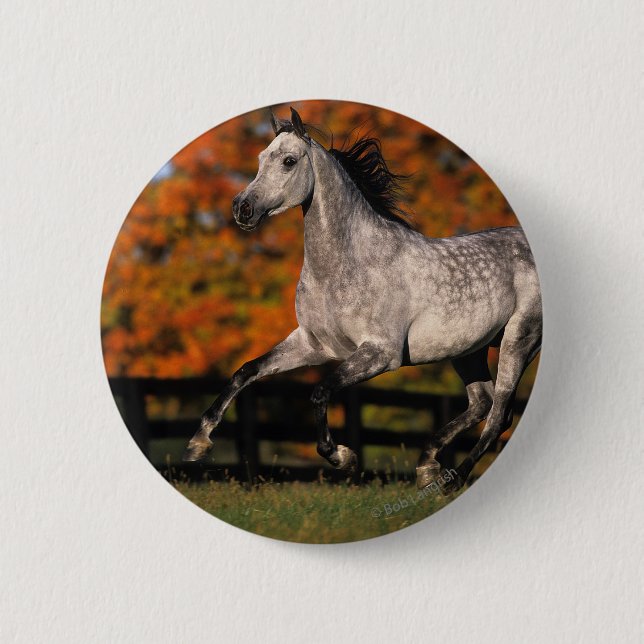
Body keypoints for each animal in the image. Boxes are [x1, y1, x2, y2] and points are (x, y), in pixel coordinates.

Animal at [183, 107, 542, 493]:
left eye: (289, 161)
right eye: (261, 158)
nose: (242, 208)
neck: (345, 265)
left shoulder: (381, 353)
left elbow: (321, 391)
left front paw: (343, 456)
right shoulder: (312, 344)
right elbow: (245, 371)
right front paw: (198, 443)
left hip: (519, 341)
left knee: (500, 414)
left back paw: (449, 478)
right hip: (468, 350)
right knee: (481, 403)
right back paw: (427, 465)